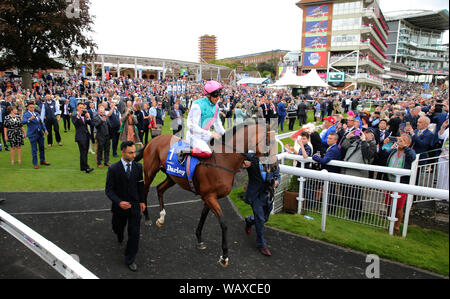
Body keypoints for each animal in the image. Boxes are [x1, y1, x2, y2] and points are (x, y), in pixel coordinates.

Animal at [134, 122, 278, 268]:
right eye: (269, 141)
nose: (275, 167)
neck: (223, 160)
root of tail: (154, 139)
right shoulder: (209, 196)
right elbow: (223, 224)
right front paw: (224, 256)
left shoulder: (209, 197)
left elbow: (203, 216)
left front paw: (199, 239)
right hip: (150, 172)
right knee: (145, 191)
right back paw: (147, 218)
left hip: (172, 177)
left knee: (159, 189)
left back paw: (161, 217)